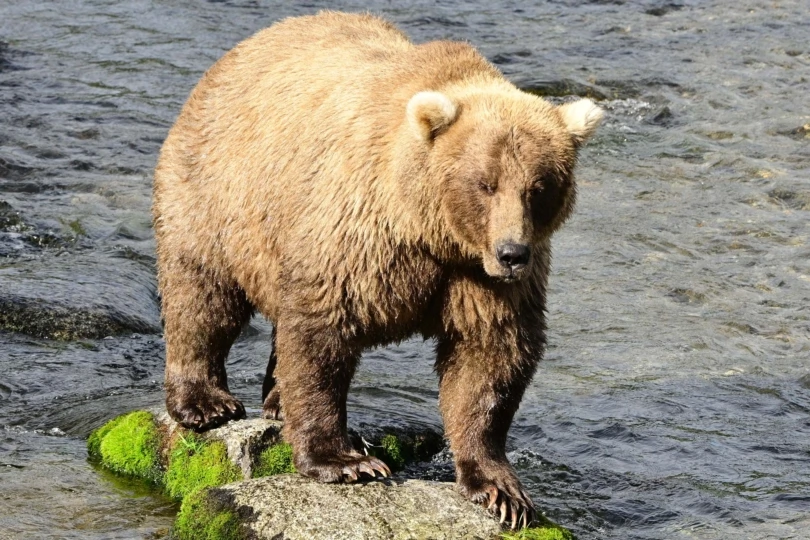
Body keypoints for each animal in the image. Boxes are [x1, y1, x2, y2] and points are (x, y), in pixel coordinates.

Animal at [152, 11, 602, 529]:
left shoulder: (481, 282)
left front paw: (501, 491)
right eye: (485, 183)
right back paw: (206, 403)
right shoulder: (358, 238)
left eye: (539, 187)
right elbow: (322, 334)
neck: (430, 232)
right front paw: (346, 461)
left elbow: (489, 359)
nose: (513, 253)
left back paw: (277, 403)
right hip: (218, 194)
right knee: (203, 295)